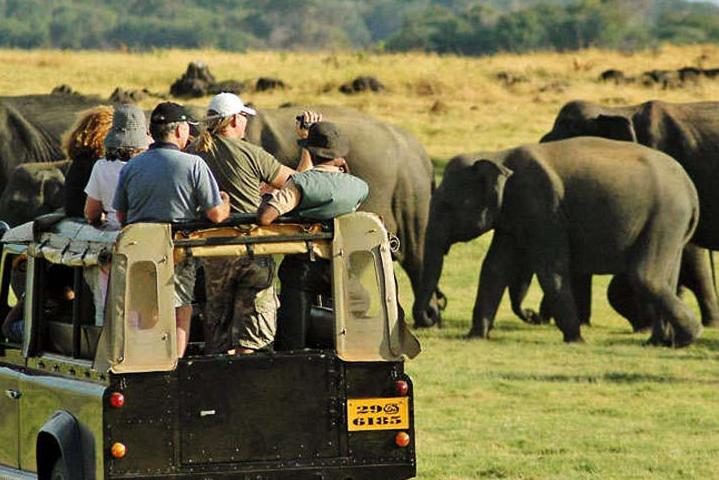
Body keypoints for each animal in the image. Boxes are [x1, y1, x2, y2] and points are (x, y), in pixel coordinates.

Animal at [413, 137, 703, 347]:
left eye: (446, 206)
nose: (432, 314)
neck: (498, 156)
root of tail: (690, 189)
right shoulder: (512, 215)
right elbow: (494, 268)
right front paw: (474, 337)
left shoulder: (543, 207)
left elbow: (550, 269)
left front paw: (575, 340)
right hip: (672, 227)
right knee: (667, 278)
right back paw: (659, 342)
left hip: (665, 217)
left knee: (645, 276)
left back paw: (688, 336)